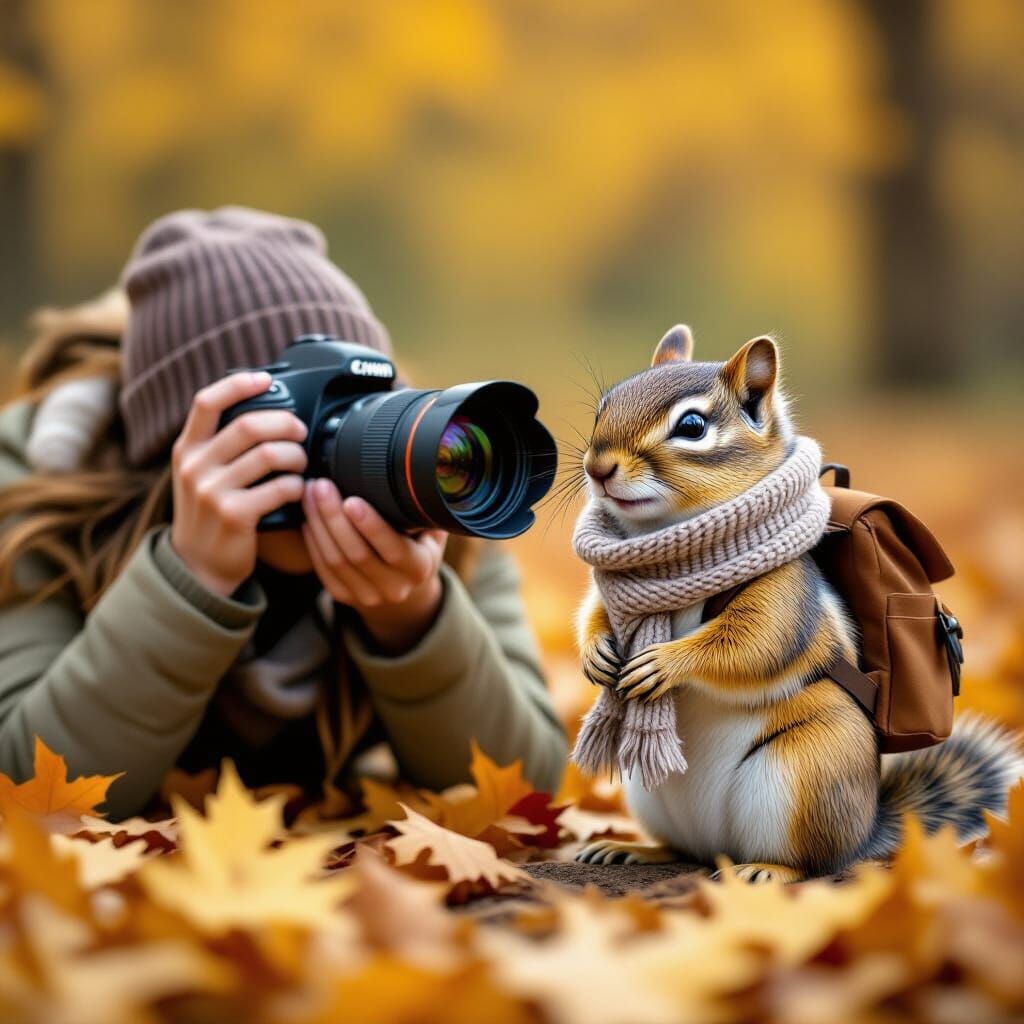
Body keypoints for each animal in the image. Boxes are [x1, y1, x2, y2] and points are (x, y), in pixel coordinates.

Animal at [575, 325, 1024, 882]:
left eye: (693, 426)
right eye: (603, 407)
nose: (597, 467)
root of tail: (864, 829)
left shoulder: (785, 591)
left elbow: (754, 642)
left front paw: (665, 661)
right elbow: (596, 612)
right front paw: (596, 653)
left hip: (803, 772)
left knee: (812, 863)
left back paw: (765, 871)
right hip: (650, 796)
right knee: (684, 850)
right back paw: (633, 849)